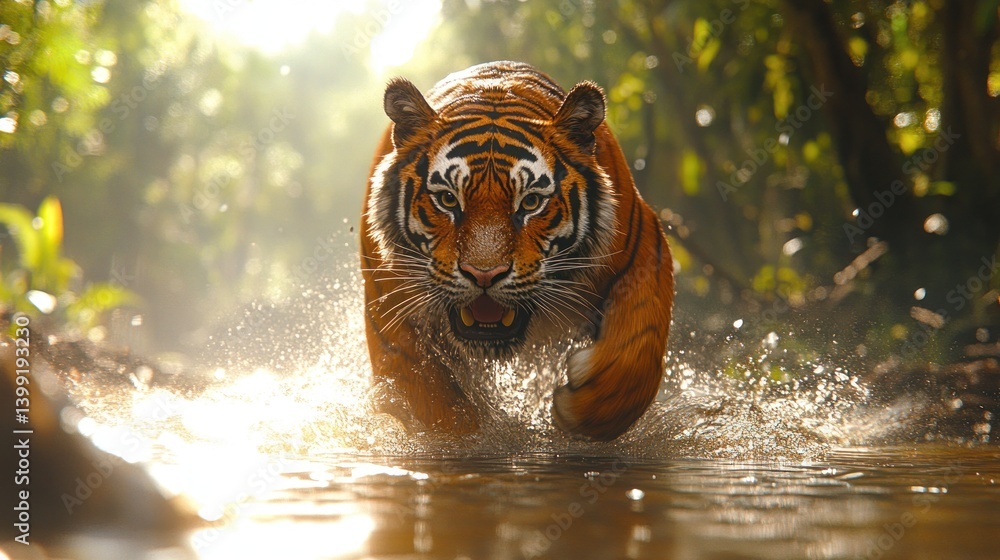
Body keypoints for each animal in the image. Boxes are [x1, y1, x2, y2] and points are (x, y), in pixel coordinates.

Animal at [360, 61, 674, 441]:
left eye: (531, 202)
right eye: (448, 199)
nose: (484, 275)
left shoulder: (643, 249)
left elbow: (639, 350)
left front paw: (579, 410)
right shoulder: (393, 316)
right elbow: (434, 405)